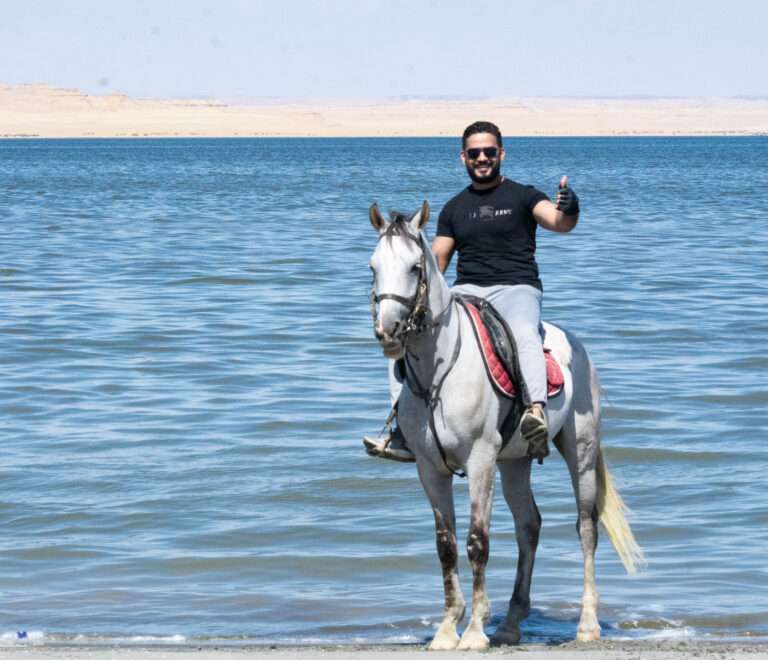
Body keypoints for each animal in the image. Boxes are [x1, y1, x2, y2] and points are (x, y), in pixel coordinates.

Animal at [366, 201, 640, 648]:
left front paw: (475, 632)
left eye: (413, 267)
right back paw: (512, 623)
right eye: (373, 266)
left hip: (579, 452)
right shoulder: (430, 467)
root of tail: (576, 345)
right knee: (529, 525)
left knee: (586, 529)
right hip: (514, 463)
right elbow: (446, 545)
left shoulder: (480, 460)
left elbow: (478, 541)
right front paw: (447, 630)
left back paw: (587, 624)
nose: (388, 331)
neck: (440, 372)